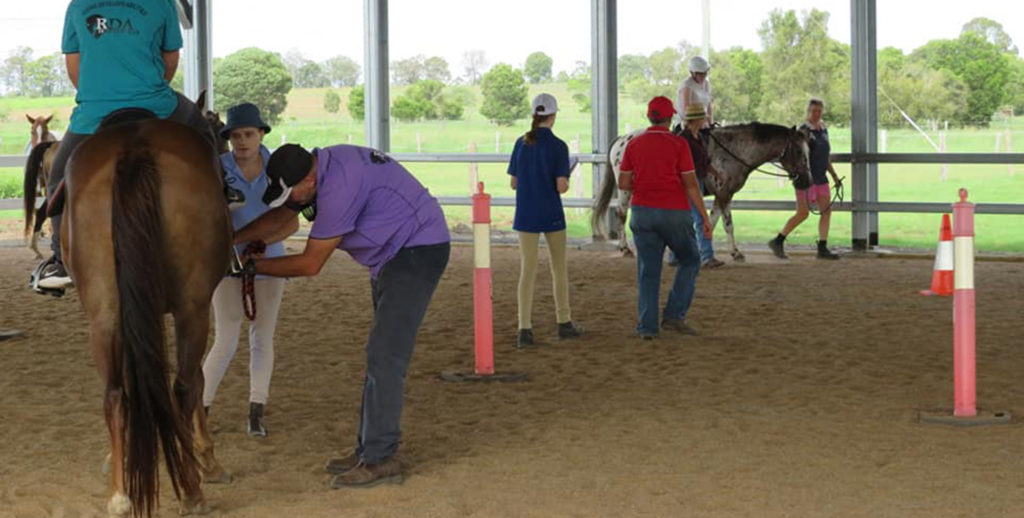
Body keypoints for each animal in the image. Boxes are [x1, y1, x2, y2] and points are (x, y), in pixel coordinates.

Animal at [589, 122, 811, 261]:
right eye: (798, 151)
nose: (806, 181)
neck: (734, 150)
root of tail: (623, 139)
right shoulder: (723, 193)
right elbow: (726, 224)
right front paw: (732, 252)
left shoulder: (724, 195)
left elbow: (713, 222)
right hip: (626, 189)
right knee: (621, 214)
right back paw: (625, 248)